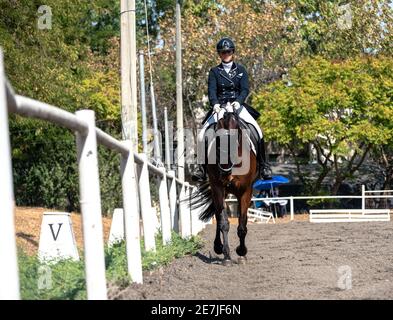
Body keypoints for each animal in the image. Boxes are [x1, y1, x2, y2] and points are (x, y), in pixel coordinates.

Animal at [190, 103, 258, 264]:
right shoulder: (218, 188)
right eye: (218, 142)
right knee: (218, 216)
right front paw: (227, 256)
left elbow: (242, 224)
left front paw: (242, 253)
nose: (225, 170)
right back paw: (218, 247)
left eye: (236, 140)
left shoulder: (246, 191)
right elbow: (224, 223)